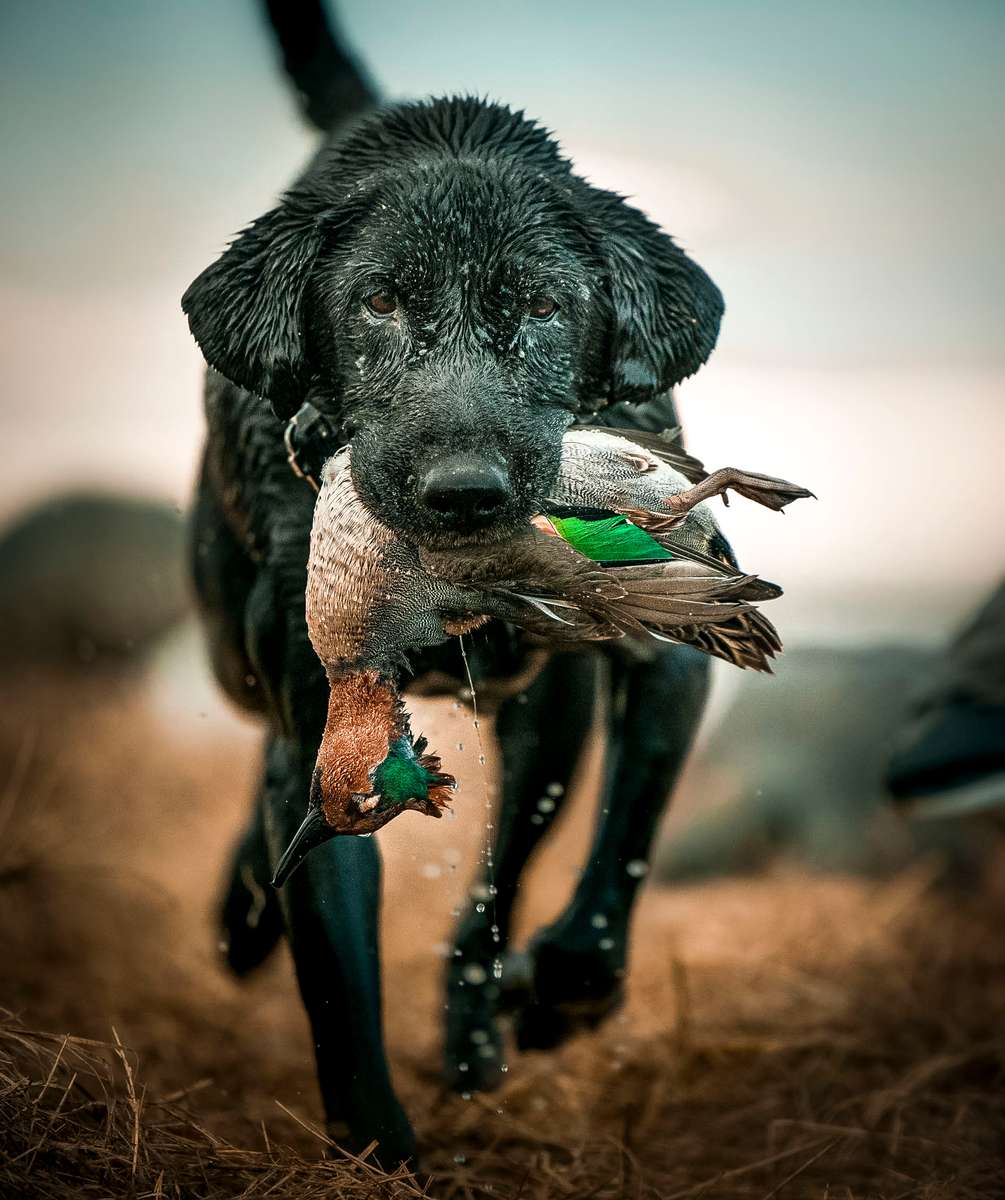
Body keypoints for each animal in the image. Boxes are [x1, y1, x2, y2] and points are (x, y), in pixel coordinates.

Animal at [183, 0, 724, 1161]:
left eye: (546, 307)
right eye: (379, 301)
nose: (465, 492)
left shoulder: (664, 662)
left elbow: (605, 877)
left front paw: (560, 996)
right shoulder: (321, 730)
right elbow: (338, 985)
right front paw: (378, 1150)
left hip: (546, 721)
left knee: (497, 887)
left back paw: (483, 1031)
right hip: (230, 648)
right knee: (270, 798)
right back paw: (244, 915)